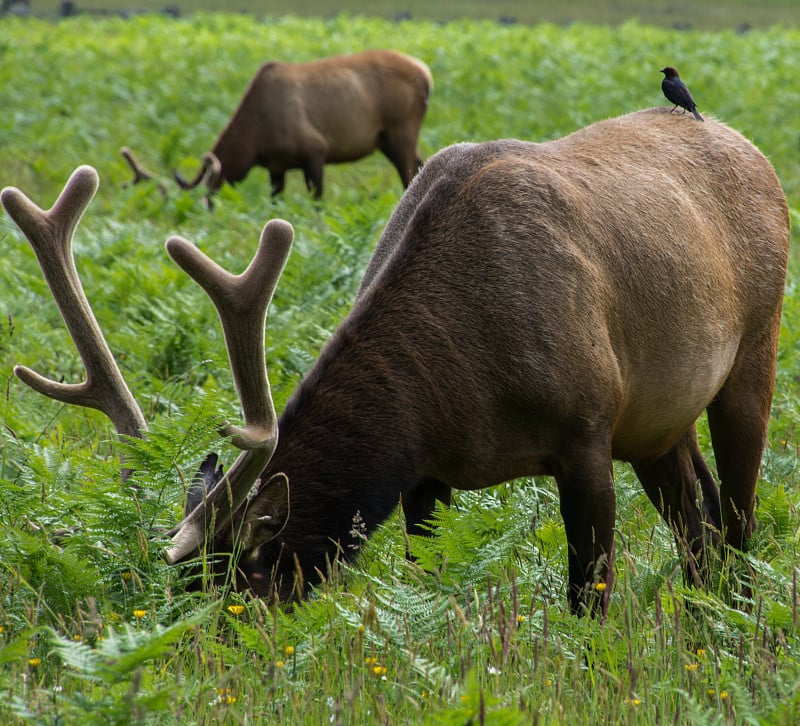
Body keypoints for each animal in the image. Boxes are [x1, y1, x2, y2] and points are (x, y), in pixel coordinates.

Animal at [3, 109, 792, 620]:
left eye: (241, 593)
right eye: (182, 593)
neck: (456, 389)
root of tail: (756, 153)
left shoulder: (587, 432)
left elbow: (587, 602)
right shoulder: (428, 477)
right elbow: (426, 580)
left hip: (752, 353)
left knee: (740, 520)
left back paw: (739, 625)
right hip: (659, 425)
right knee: (702, 527)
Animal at [122, 49, 434, 202]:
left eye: (211, 194)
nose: (207, 211)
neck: (255, 142)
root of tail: (427, 74)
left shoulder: (315, 150)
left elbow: (317, 199)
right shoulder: (277, 166)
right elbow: (277, 201)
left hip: (400, 130)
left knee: (409, 170)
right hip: (387, 139)